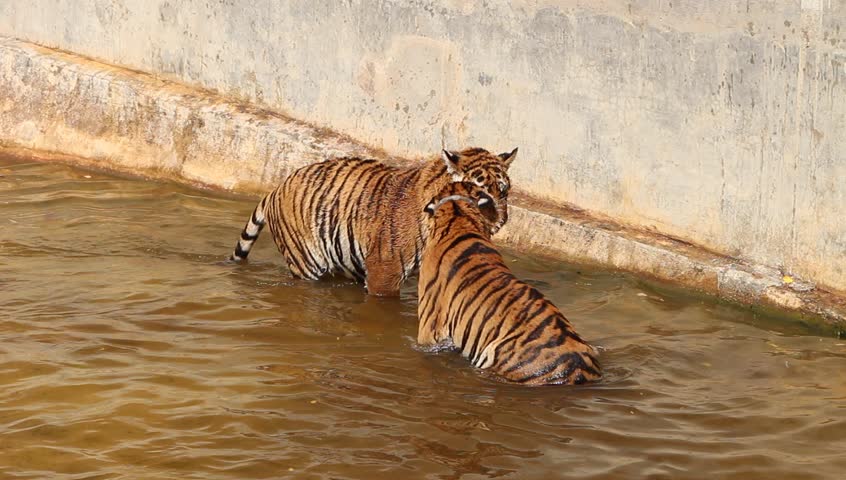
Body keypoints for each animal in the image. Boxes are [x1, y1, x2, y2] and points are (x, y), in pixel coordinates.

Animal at [230, 147, 518, 296]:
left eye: (503, 192)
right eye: (481, 195)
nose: (500, 222)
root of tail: (276, 188)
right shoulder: (385, 270)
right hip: (307, 262)